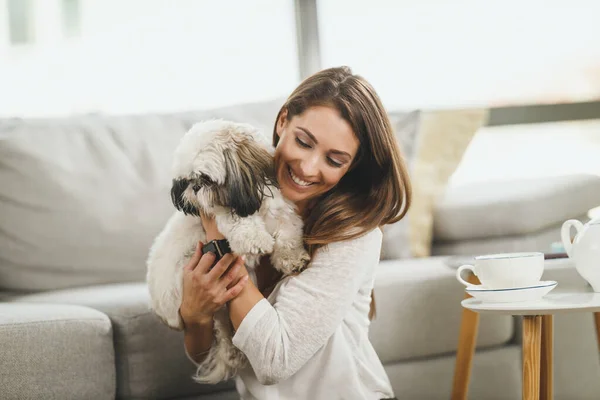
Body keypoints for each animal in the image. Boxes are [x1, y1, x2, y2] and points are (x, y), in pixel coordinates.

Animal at [145, 119, 310, 384]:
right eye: (187, 180)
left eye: (204, 178)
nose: (194, 188)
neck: (253, 201)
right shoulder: (220, 214)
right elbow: (237, 221)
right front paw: (255, 239)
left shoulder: (281, 211)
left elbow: (288, 233)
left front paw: (291, 258)